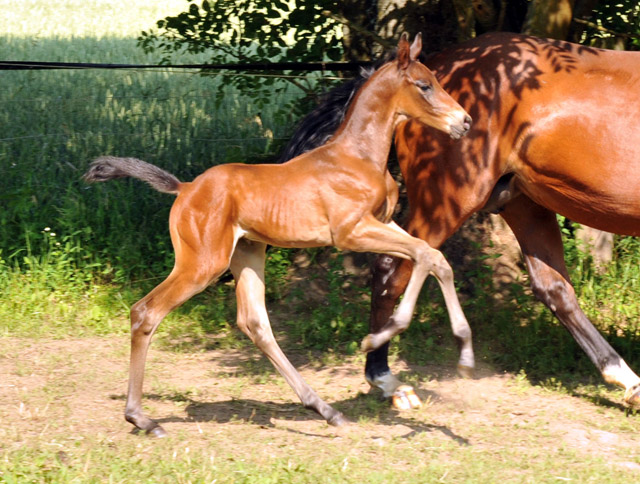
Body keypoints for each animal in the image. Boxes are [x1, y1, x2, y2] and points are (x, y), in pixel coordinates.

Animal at [82, 34, 470, 434]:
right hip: (202, 264)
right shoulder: (351, 232)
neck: (358, 157)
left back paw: (325, 409)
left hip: (248, 253)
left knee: (255, 323)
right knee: (146, 312)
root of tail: (184, 188)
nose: (465, 121)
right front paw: (380, 336)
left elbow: (433, 256)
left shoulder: (384, 222)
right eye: (424, 85)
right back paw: (141, 417)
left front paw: (465, 352)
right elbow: (424, 253)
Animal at [282, 31, 640, 408]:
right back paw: (384, 377)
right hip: (447, 200)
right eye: (424, 87)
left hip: (522, 202)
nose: (461, 120)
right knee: (394, 269)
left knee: (554, 288)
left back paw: (626, 379)